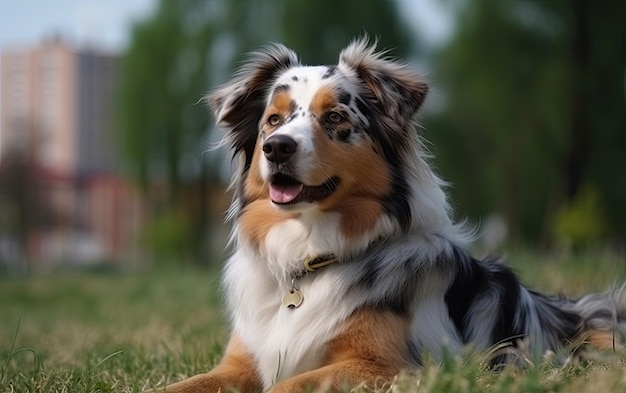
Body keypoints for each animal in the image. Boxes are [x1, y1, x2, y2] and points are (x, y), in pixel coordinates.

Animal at [161, 37, 624, 392]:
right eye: (273, 120)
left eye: (336, 117)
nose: (277, 147)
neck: (310, 257)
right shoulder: (242, 361)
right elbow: (183, 385)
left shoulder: (391, 365)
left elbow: (286, 386)